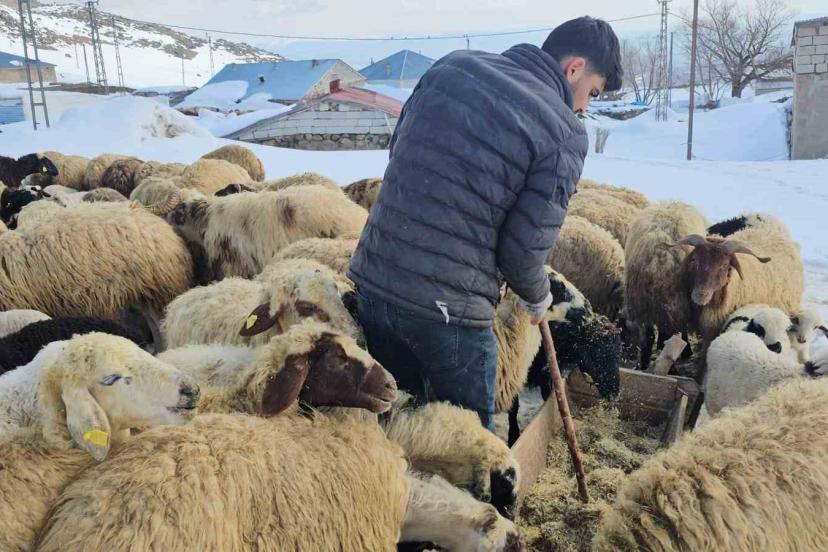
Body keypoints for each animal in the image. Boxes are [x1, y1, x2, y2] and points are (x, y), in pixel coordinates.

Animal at [625, 202, 709, 370]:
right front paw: (686, 350)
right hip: (675, 298)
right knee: (670, 331)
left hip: (644, 299)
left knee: (648, 335)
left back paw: (644, 363)